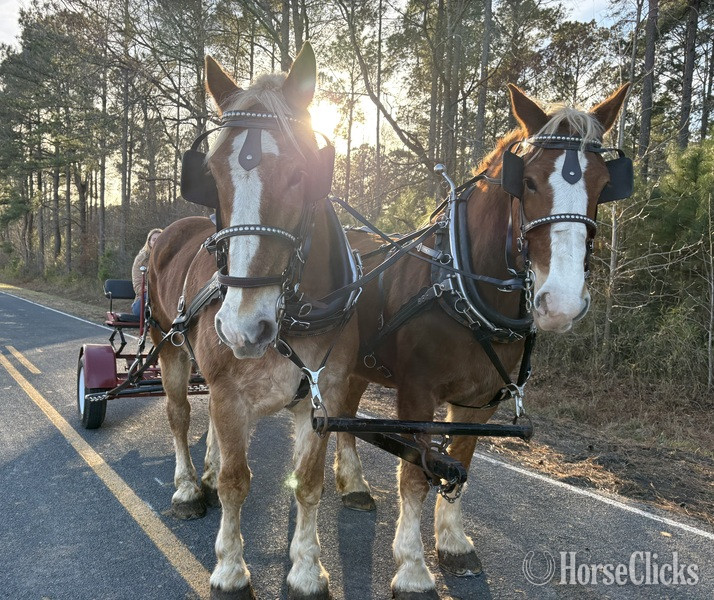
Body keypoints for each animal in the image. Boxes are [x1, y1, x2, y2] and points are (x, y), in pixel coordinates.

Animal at [148, 42, 363, 599]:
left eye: (301, 172)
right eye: (212, 175)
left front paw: (307, 569)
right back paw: (187, 487)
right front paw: (229, 568)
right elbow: (235, 481)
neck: (292, 318)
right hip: (167, 346)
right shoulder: (228, 392)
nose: (243, 327)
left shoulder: (321, 395)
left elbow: (308, 483)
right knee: (180, 415)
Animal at [334, 83, 631, 598]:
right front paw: (412, 569)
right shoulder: (416, 394)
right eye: (527, 182)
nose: (561, 302)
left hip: (360, 362)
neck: (458, 282)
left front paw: (452, 544)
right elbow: (416, 473)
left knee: (346, 413)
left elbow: (461, 462)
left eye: (601, 185)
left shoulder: (480, 401)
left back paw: (352, 485)